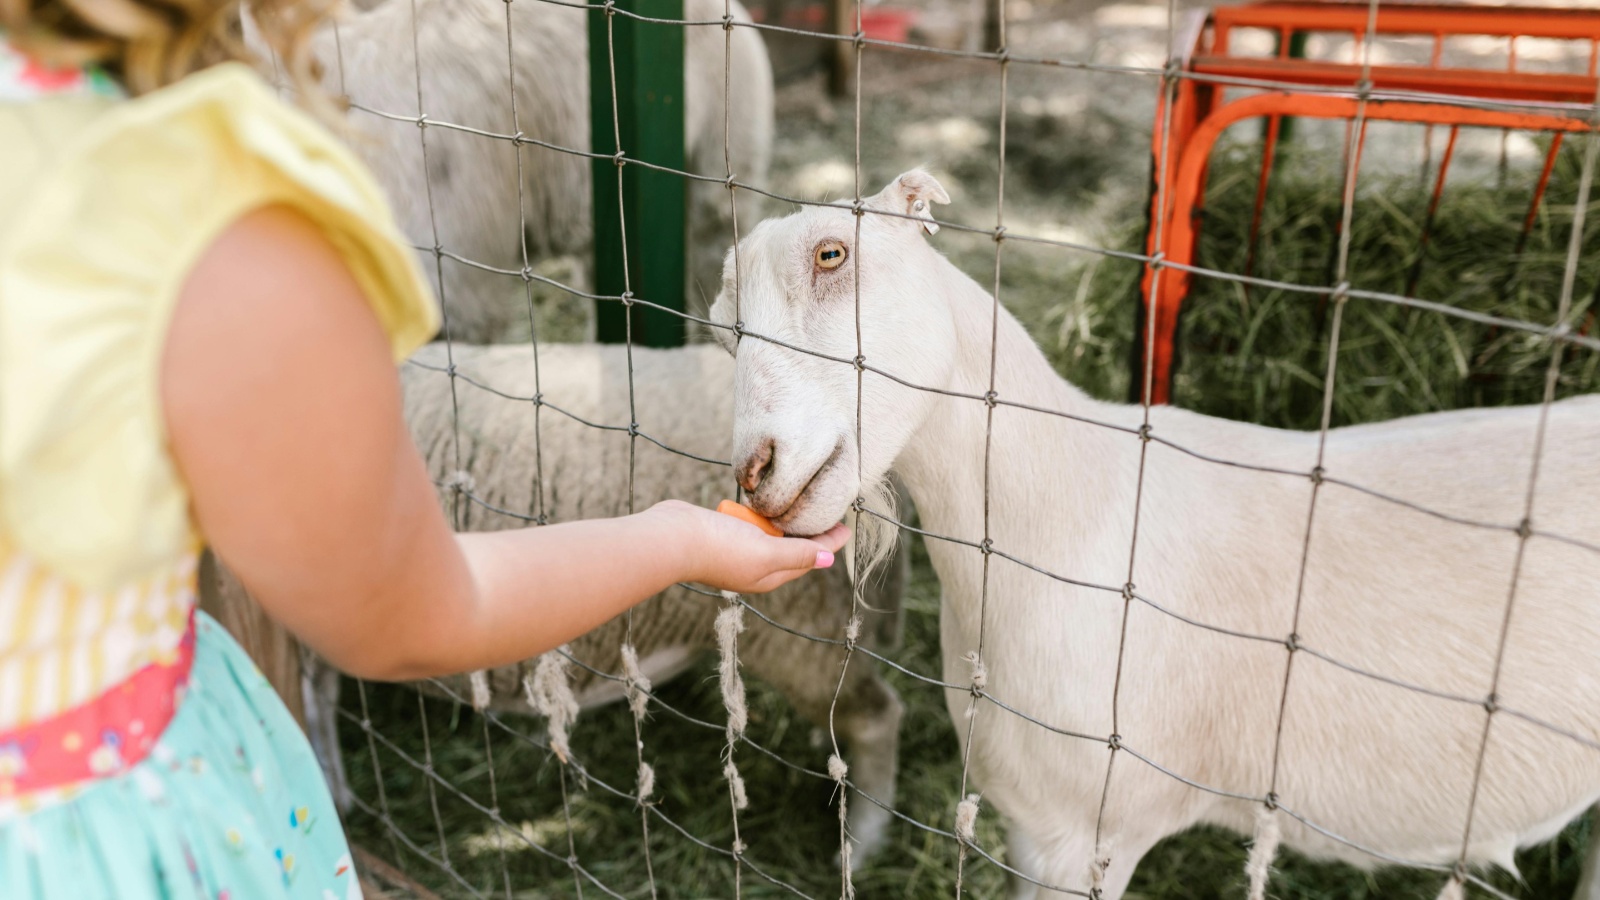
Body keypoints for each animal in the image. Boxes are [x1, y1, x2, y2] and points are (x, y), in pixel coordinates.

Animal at [710, 169, 1600, 896]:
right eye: (722, 328)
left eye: (832, 254)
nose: (754, 469)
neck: (1076, 516)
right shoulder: (1035, 825)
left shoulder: (1090, 833)